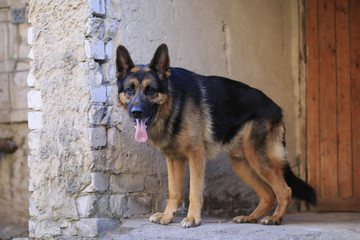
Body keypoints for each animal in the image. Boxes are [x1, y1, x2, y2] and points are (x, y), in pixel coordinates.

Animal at [116, 43, 316, 229]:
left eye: (150, 89)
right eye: (130, 90)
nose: (136, 112)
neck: (174, 103)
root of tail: (277, 108)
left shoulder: (196, 155)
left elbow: (194, 191)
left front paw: (192, 219)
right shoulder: (173, 158)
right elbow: (174, 191)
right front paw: (167, 216)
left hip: (260, 159)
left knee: (285, 191)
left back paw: (275, 218)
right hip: (242, 163)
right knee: (268, 194)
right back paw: (250, 217)